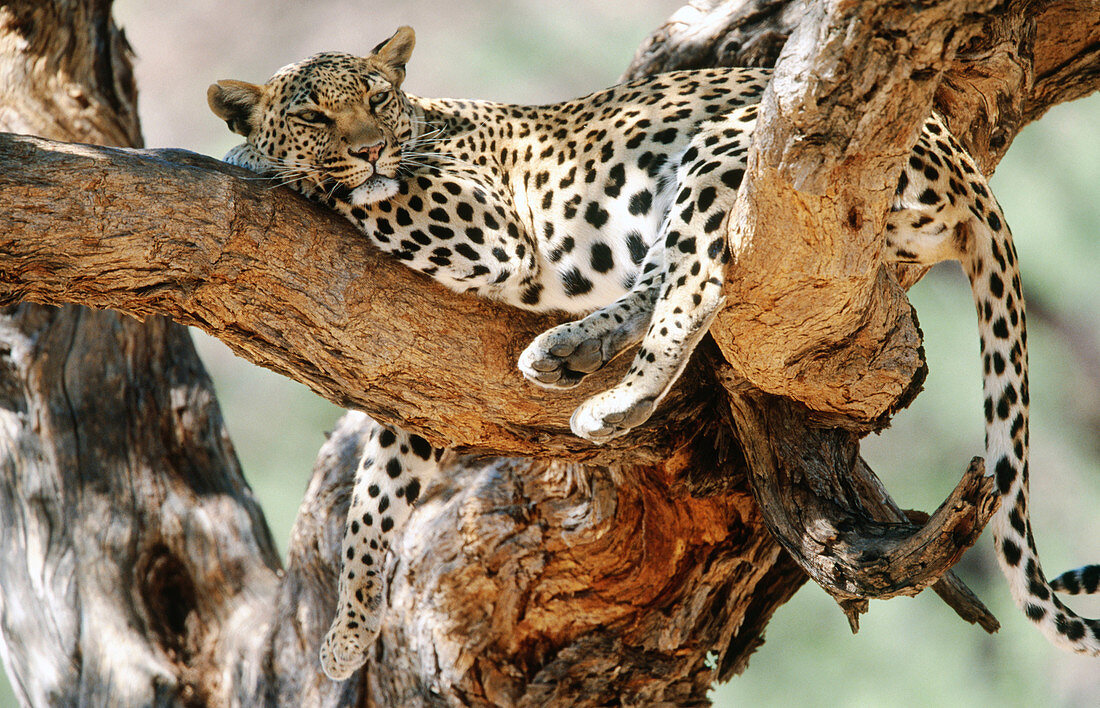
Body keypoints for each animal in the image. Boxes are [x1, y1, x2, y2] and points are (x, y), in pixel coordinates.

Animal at [207, 26, 1100, 681]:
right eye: (316, 116)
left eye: (376, 99)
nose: (367, 148)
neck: (424, 117)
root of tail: (956, 147)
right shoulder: (414, 382)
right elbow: (373, 502)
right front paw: (350, 630)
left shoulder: (487, 227)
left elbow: (351, 192)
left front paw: (250, 155)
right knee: (665, 277)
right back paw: (568, 351)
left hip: (722, 155)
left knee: (696, 285)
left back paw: (611, 400)